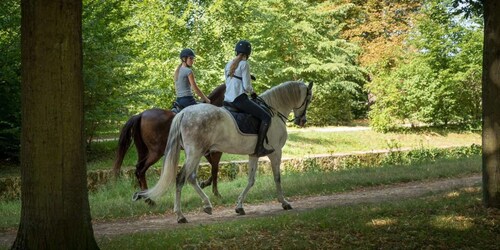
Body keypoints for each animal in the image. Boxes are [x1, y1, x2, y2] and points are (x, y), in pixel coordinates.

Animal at [135, 81, 310, 224]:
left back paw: (206, 205)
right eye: (308, 99)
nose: (302, 121)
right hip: (191, 153)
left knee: (190, 178)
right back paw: (180, 215)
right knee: (180, 178)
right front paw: (284, 202)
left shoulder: (253, 154)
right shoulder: (276, 152)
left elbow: (250, 180)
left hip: (196, 153)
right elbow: (277, 178)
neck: (274, 112)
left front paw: (239, 206)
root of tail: (183, 113)